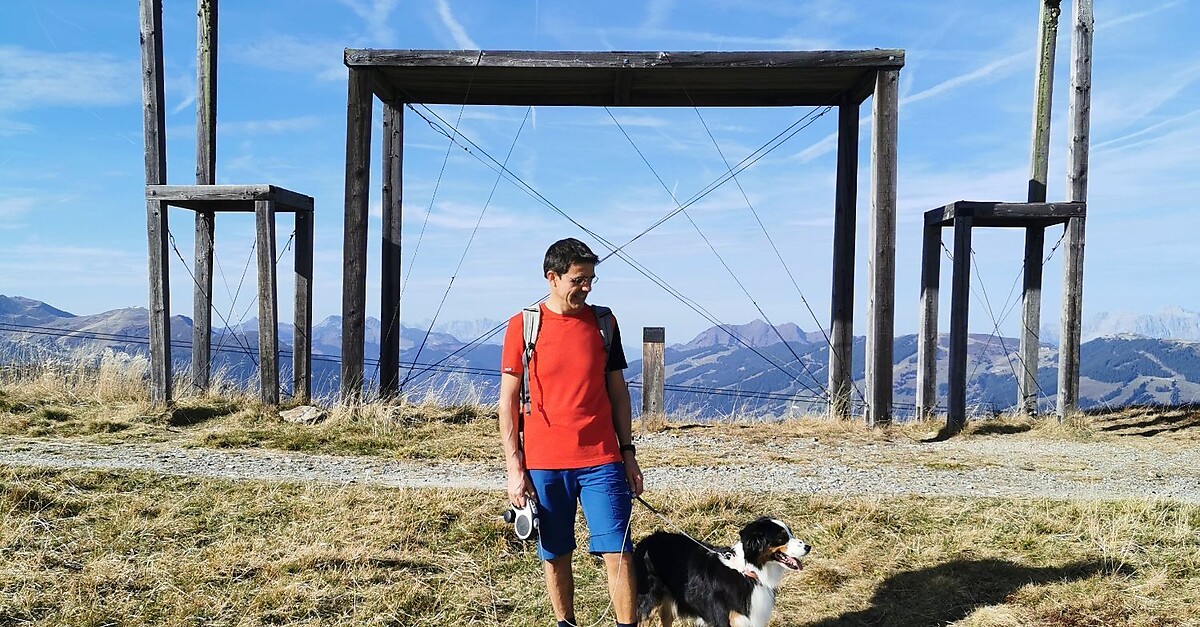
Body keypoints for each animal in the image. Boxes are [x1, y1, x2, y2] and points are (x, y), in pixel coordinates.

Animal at [633, 514, 811, 624]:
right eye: (782, 537)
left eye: (790, 534)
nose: (808, 547)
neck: (748, 573)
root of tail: (645, 541)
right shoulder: (724, 619)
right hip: (649, 603)